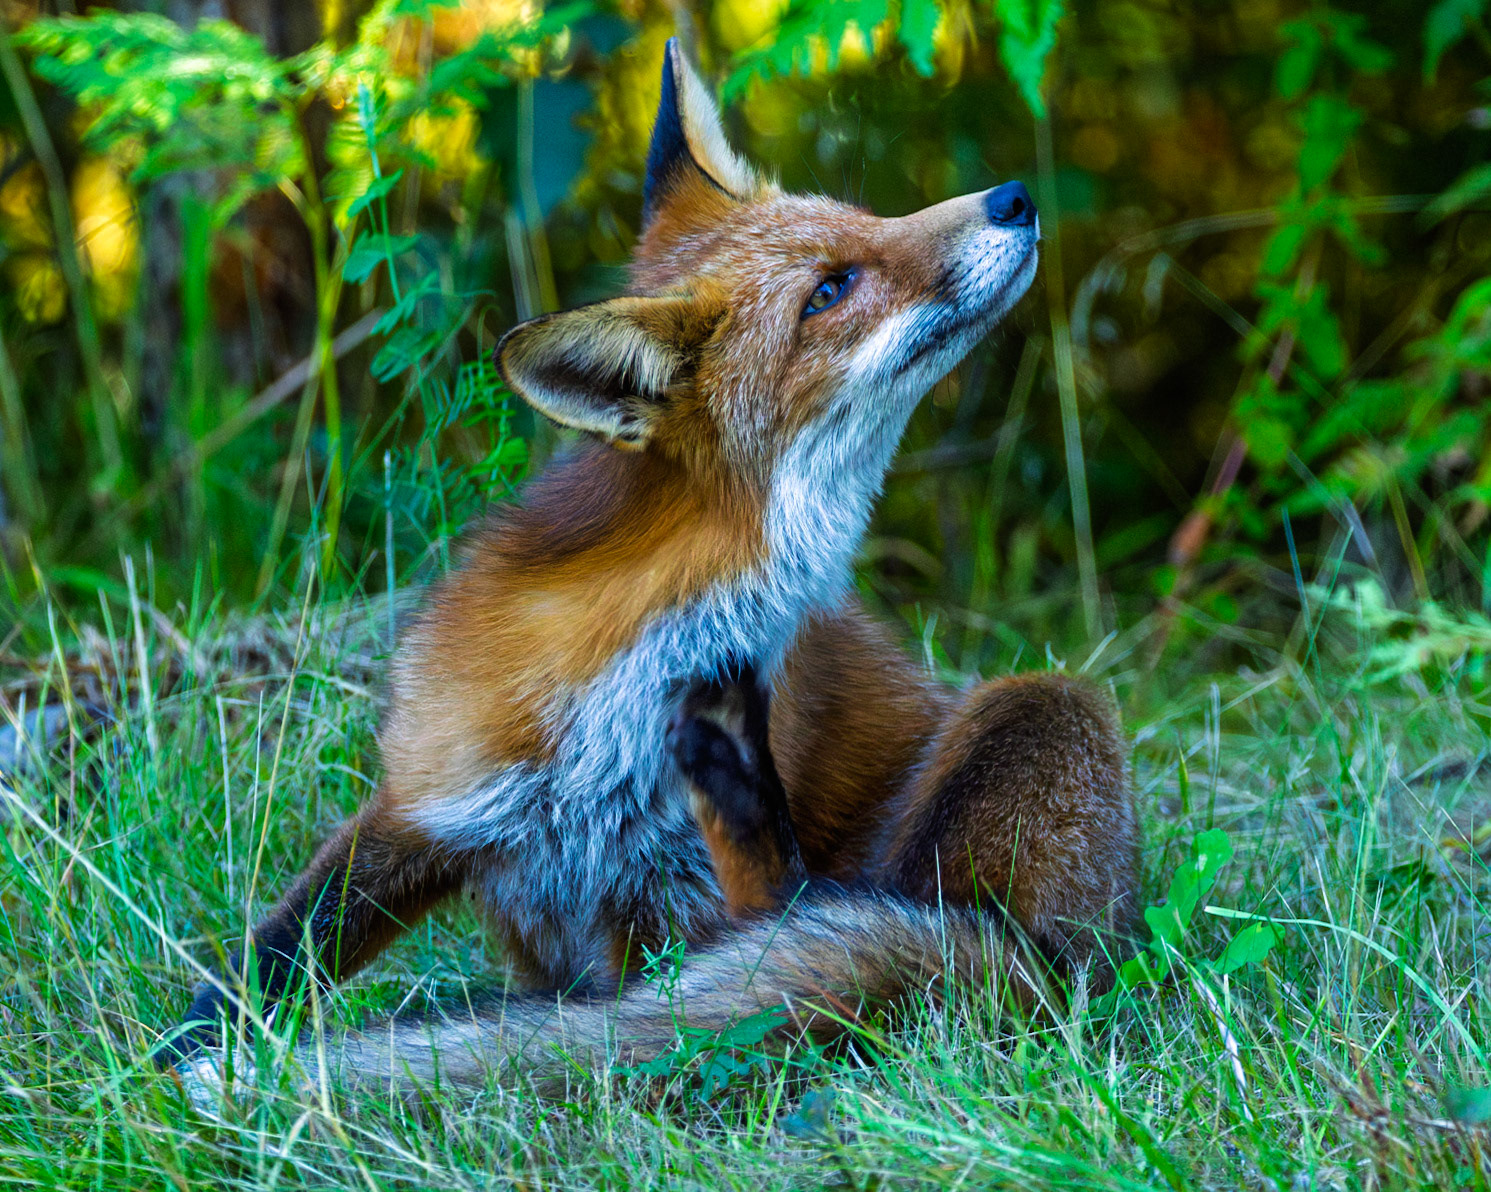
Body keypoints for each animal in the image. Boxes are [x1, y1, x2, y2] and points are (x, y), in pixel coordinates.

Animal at [160, 39, 1138, 1092]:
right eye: (830, 290)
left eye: (870, 218)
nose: (1013, 197)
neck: (624, 687)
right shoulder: (424, 800)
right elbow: (270, 956)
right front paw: (161, 1068)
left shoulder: (672, 904)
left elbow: (700, 983)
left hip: (1036, 711)